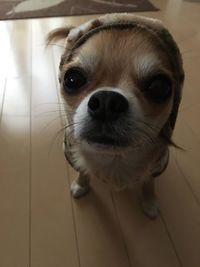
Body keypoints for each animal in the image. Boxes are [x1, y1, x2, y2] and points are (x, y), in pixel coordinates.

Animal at [47, 13, 184, 220]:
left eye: (160, 87)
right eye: (72, 79)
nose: (107, 102)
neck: (114, 159)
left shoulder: (157, 164)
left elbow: (148, 182)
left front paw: (149, 202)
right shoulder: (71, 153)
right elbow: (83, 169)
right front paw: (81, 184)